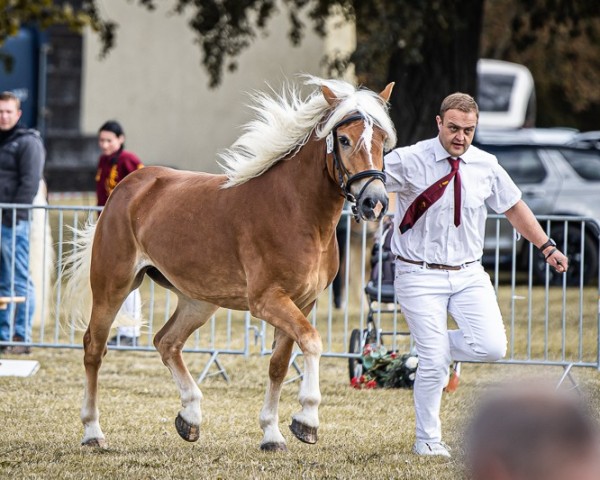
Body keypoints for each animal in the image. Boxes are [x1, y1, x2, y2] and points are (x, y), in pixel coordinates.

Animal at [63, 75, 396, 450]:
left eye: (384, 142)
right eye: (343, 139)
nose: (375, 202)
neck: (296, 210)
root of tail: (128, 187)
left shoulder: (303, 302)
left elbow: (279, 365)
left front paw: (272, 434)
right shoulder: (268, 300)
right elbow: (312, 341)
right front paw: (307, 419)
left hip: (198, 301)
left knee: (166, 342)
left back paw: (190, 417)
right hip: (114, 285)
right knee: (94, 348)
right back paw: (93, 431)